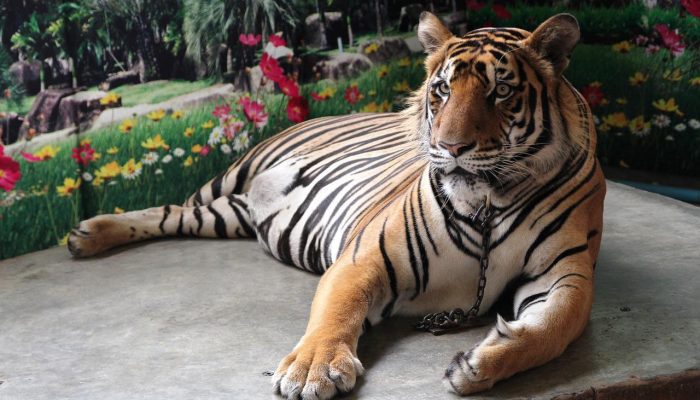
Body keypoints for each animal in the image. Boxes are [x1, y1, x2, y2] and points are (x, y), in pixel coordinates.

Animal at [68, 12, 605, 399]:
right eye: (442, 89)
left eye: (501, 91)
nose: (450, 148)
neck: (488, 203)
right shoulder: (365, 256)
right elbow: (337, 311)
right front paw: (312, 370)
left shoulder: (566, 273)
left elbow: (554, 327)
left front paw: (479, 364)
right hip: (231, 176)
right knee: (166, 208)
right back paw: (86, 234)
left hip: (225, 215)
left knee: (175, 216)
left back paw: (87, 236)